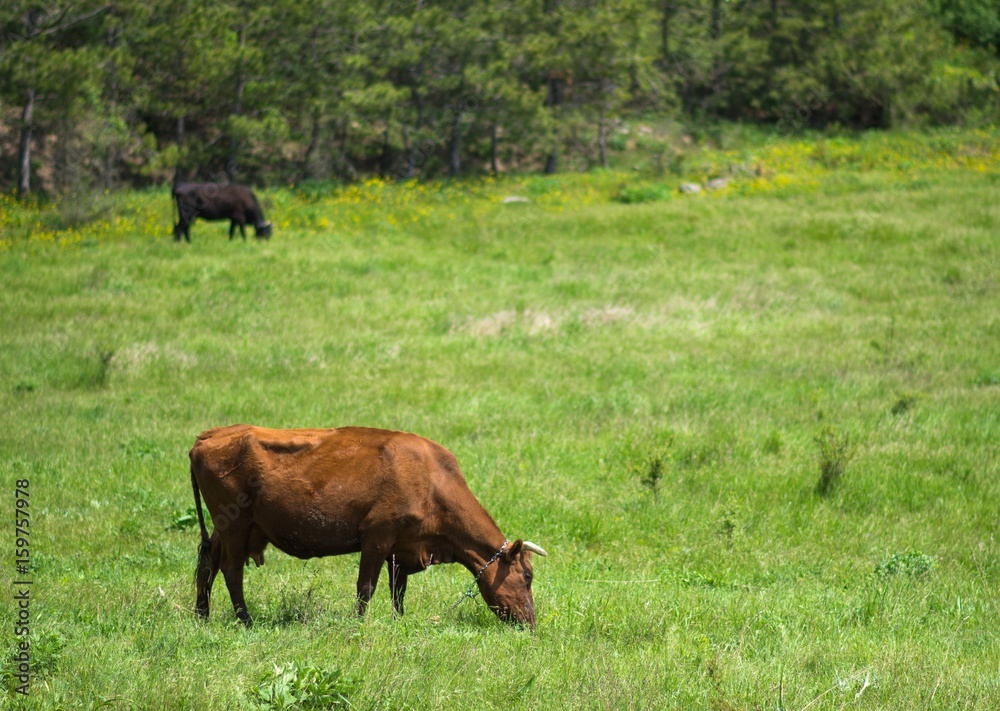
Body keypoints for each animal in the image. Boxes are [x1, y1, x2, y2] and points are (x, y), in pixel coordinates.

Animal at [188, 426, 548, 624]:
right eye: (527, 576)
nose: (530, 623)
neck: (432, 481)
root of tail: (209, 436)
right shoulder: (377, 537)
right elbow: (366, 588)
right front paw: (359, 623)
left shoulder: (404, 547)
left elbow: (397, 590)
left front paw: (398, 622)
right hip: (235, 525)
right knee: (231, 570)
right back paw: (245, 620)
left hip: (228, 526)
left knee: (208, 562)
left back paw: (202, 615)